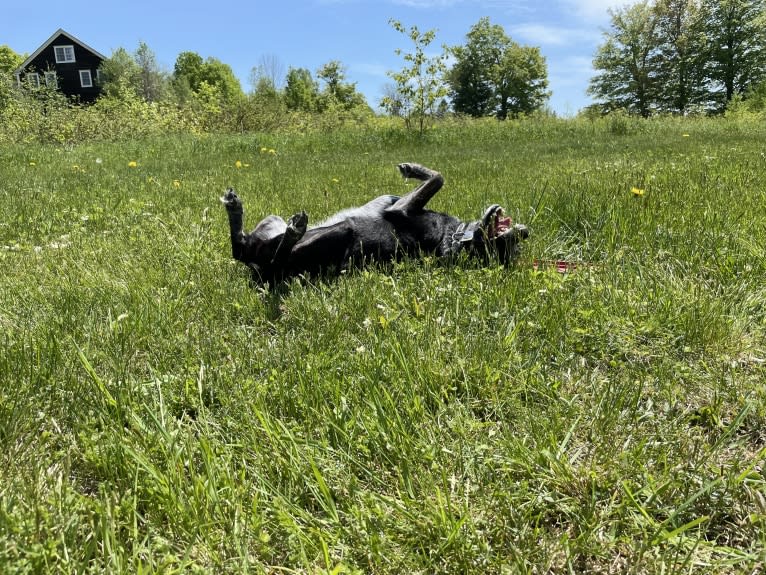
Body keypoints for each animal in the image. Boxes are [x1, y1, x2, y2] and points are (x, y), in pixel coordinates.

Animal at [222, 163, 532, 284]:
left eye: (506, 249)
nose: (526, 232)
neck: (455, 236)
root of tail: (258, 271)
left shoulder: (402, 208)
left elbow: (438, 178)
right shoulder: (395, 201)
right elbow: (434, 179)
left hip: (339, 233)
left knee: (265, 256)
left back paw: (293, 230)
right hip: (270, 223)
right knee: (241, 244)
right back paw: (235, 208)